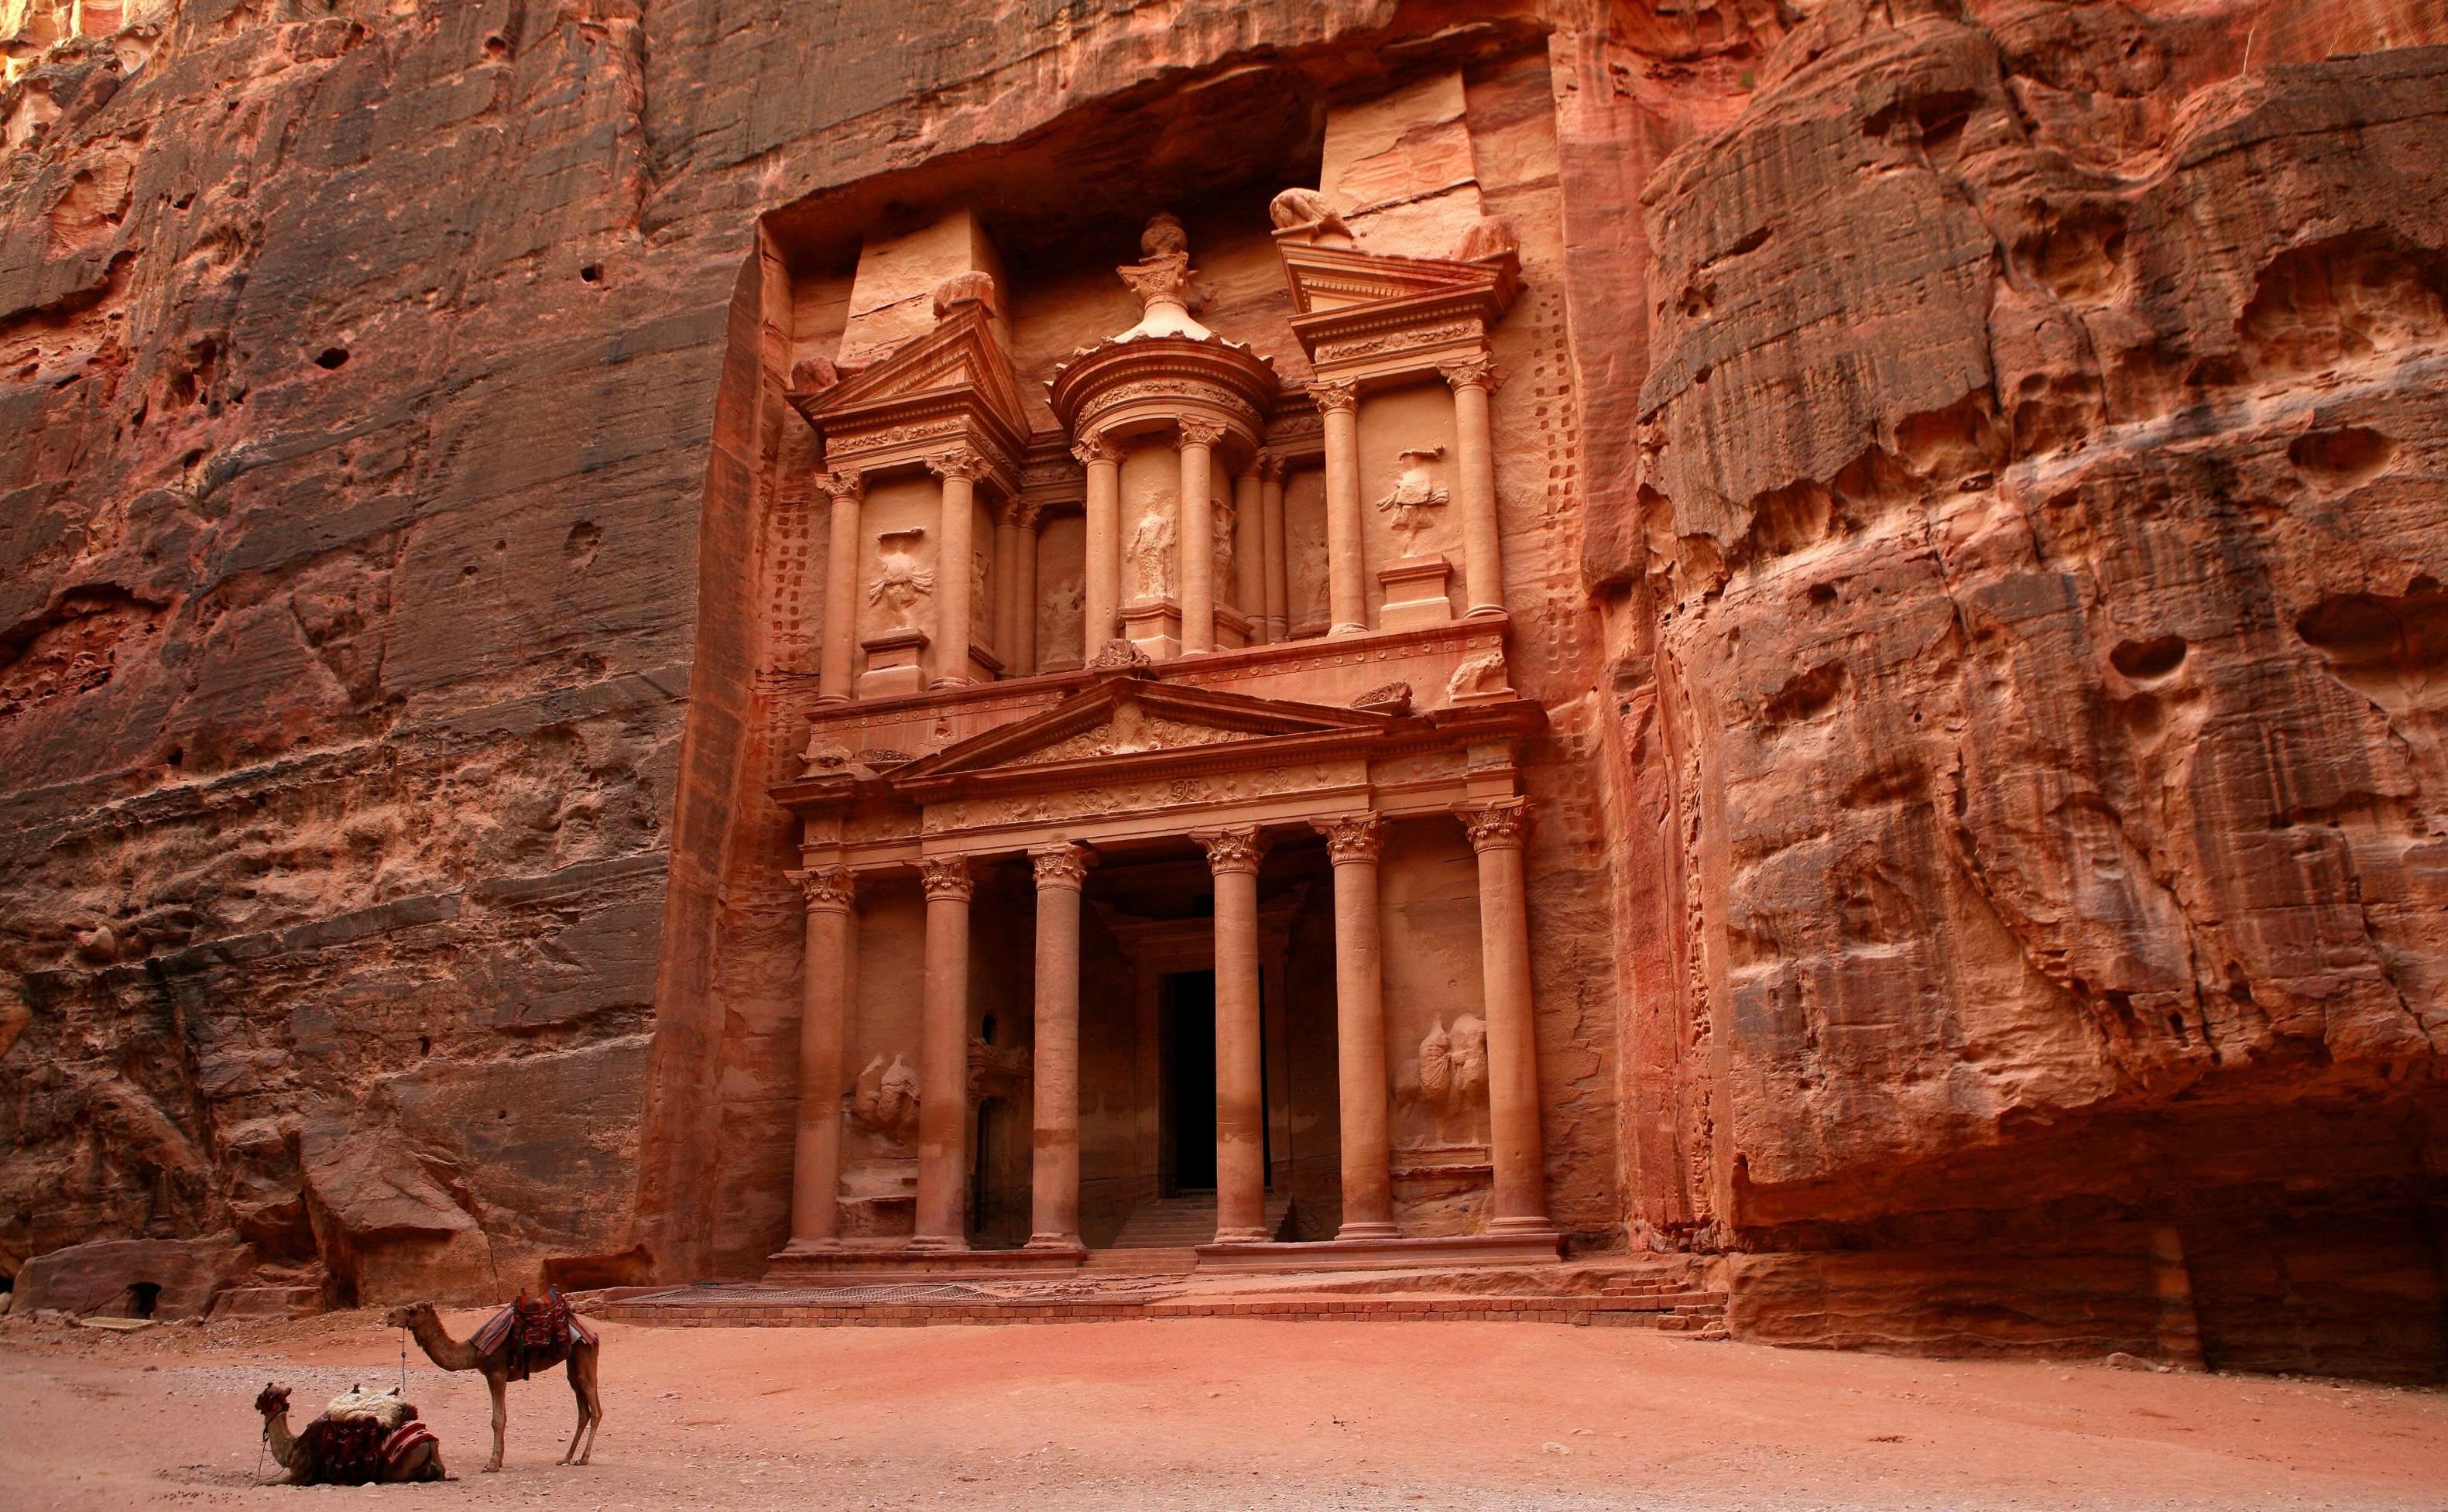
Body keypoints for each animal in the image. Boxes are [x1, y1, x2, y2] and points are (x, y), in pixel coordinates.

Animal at [389, 1291, 609, 1468]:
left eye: (412, 1310)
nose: (390, 1316)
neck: (472, 1351)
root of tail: (591, 1333)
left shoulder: (496, 1373)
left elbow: (498, 1419)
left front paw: (492, 1463)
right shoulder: (492, 1375)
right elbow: (501, 1417)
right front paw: (499, 1459)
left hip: (584, 1352)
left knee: (594, 1405)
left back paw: (584, 1458)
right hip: (572, 1361)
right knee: (582, 1408)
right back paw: (566, 1458)